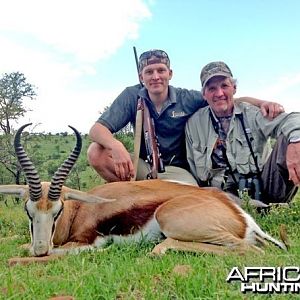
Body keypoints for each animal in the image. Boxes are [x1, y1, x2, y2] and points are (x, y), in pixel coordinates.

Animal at [0, 123, 288, 256]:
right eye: (28, 211)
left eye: (57, 210)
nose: (41, 249)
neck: (79, 210)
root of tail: (242, 217)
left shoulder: (88, 241)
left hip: (172, 220)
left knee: (250, 250)